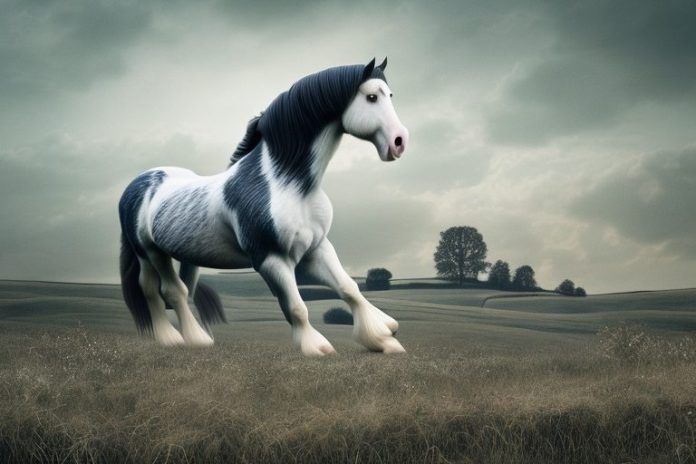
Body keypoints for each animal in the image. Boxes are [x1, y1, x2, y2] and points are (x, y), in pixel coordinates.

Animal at [118, 58, 409, 356]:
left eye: (390, 95)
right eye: (372, 97)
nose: (399, 142)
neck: (288, 185)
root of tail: (138, 183)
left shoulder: (317, 248)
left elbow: (349, 288)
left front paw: (383, 338)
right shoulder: (271, 258)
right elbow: (297, 306)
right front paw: (316, 347)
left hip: (187, 255)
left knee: (178, 289)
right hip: (150, 252)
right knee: (165, 291)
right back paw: (181, 339)